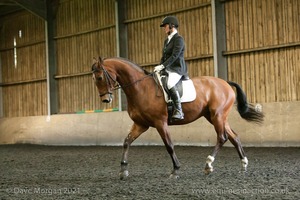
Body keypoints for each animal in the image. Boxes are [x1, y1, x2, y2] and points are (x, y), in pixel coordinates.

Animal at [90, 56, 264, 180]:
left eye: (99, 78)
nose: (106, 100)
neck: (140, 88)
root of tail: (225, 83)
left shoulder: (160, 122)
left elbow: (169, 145)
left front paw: (175, 170)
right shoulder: (140, 124)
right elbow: (126, 142)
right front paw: (123, 170)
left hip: (217, 116)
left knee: (222, 137)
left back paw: (208, 164)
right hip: (215, 116)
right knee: (234, 137)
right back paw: (243, 165)